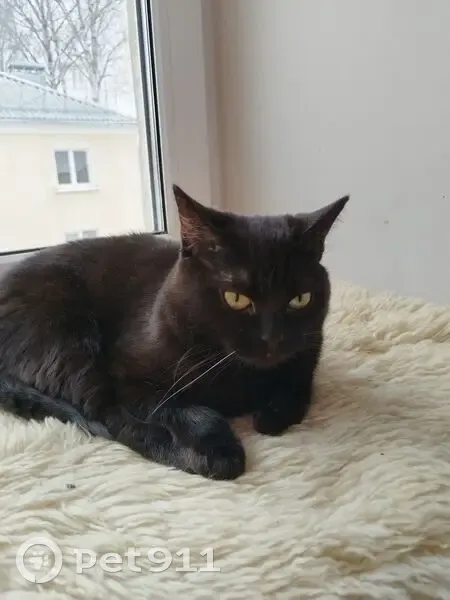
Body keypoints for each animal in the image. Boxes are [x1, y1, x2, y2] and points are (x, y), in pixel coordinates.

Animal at [0, 185, 348, 479]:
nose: (273, 340)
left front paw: (271, 414)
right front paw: (220, 449)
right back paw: (195, 457)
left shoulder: (305, 358)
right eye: (236, 298)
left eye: (300, 299)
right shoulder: (130, 379)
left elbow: (296, 392)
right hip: (68, 338)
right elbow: (191, 410)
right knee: (109, 418)